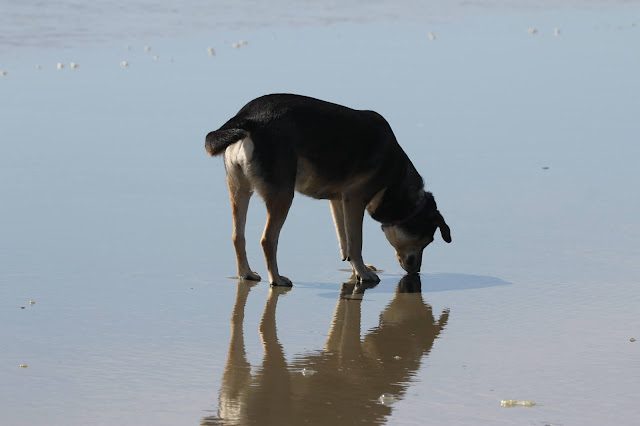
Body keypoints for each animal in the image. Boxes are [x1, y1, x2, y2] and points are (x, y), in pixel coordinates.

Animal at [205, 94, 451, 286]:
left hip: (239, 189)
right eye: (426, 241)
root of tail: (247, 119)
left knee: (237, 236)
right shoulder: (355, 199)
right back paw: (276, 279)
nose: (416, 272)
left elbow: (345, 240)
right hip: (283, 195)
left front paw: (355, 268)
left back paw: (246, 273)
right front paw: (363, 273)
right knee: (268, 240)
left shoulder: (339, 200)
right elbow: (356, 241)